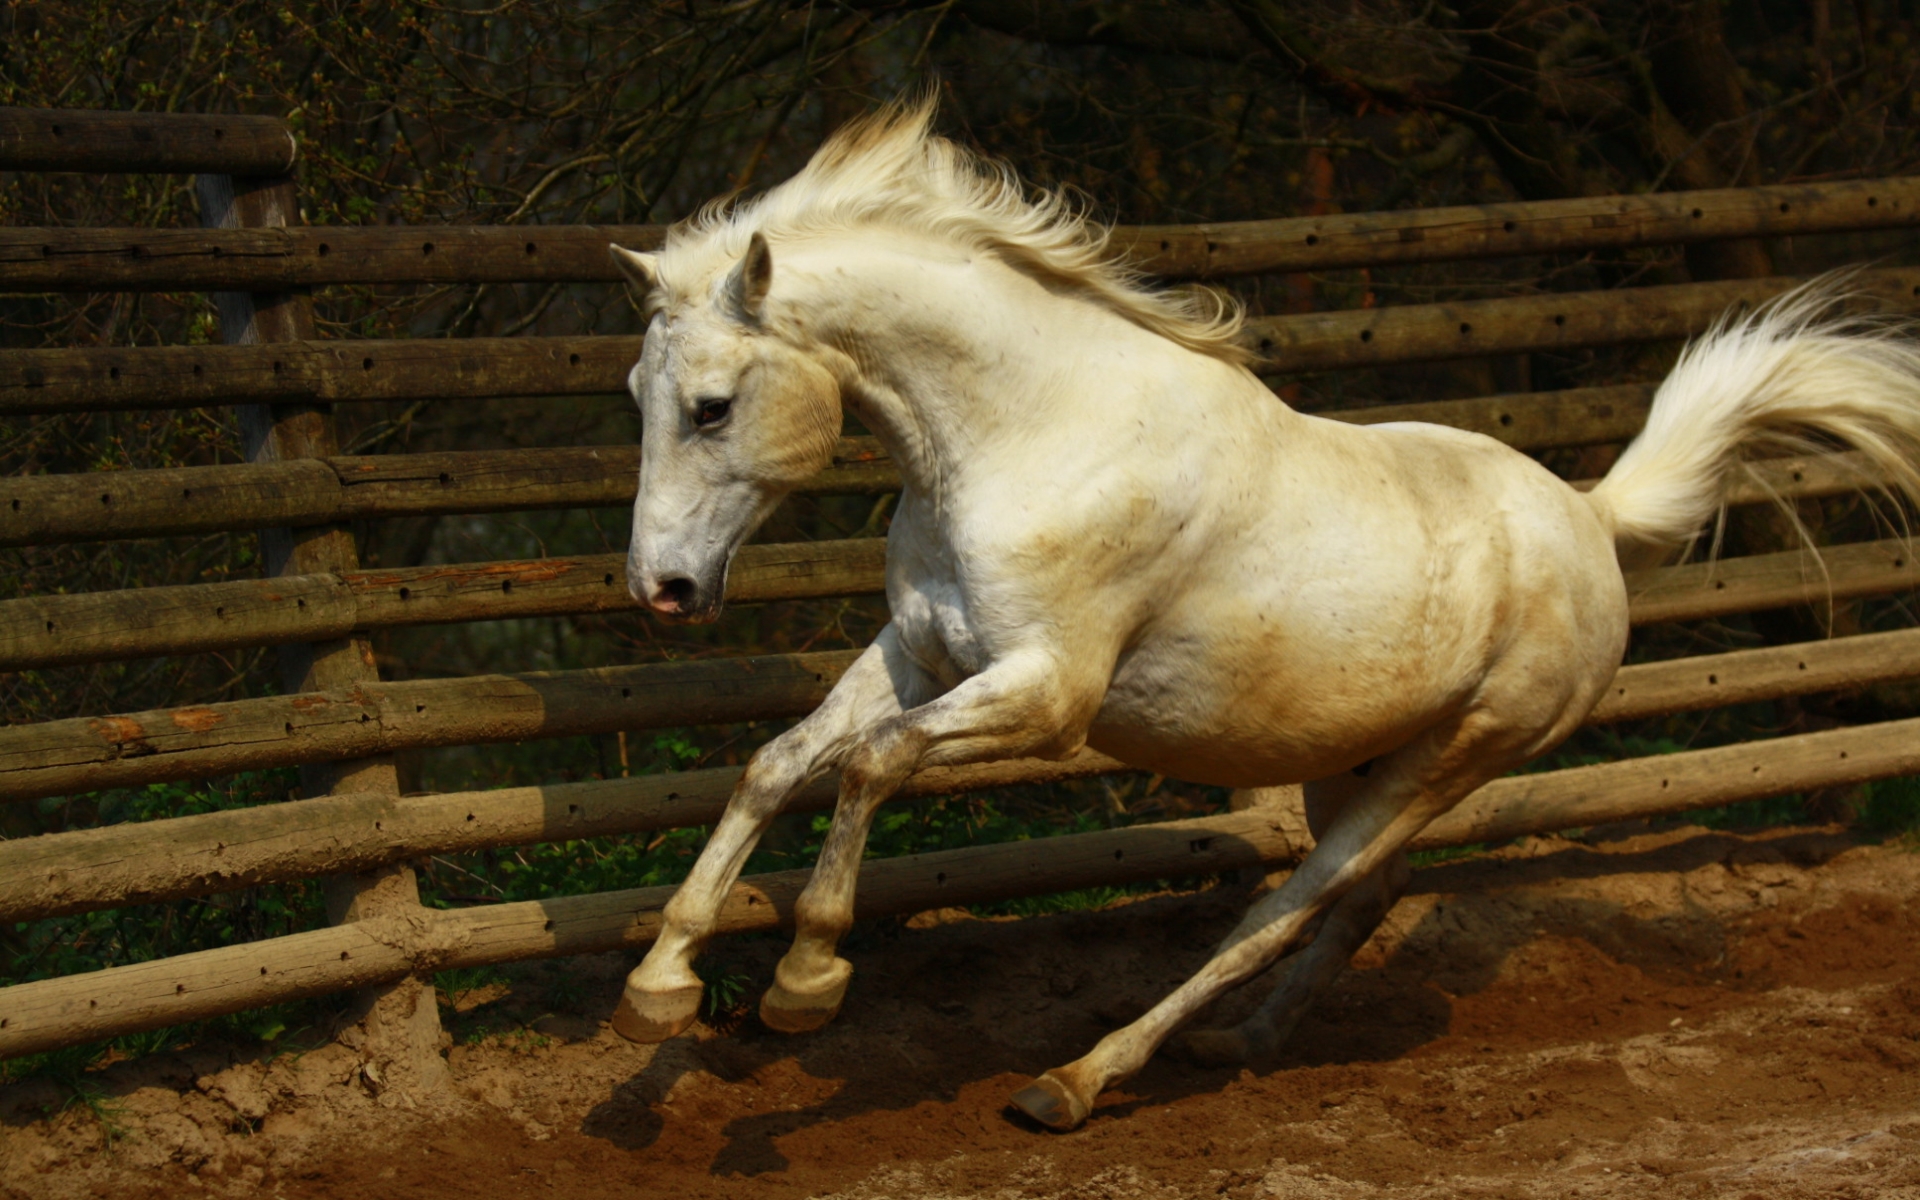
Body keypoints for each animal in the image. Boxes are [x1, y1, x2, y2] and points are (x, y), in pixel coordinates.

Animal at [602, 100, 1920, 1121]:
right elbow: (777, 764)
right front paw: (658, 989)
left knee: (1291, 907)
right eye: (635, 395)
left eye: (711, 406)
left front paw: (804, 986)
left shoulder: (1046, 695)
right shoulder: (919, 652)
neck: (1032, 436)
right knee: (1356, 905)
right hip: (1357, 756)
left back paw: (1079, 1081)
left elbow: (872, 764)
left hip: (1456, 757)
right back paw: (1239, 1047)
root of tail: (1592, 522)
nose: (662, 590)